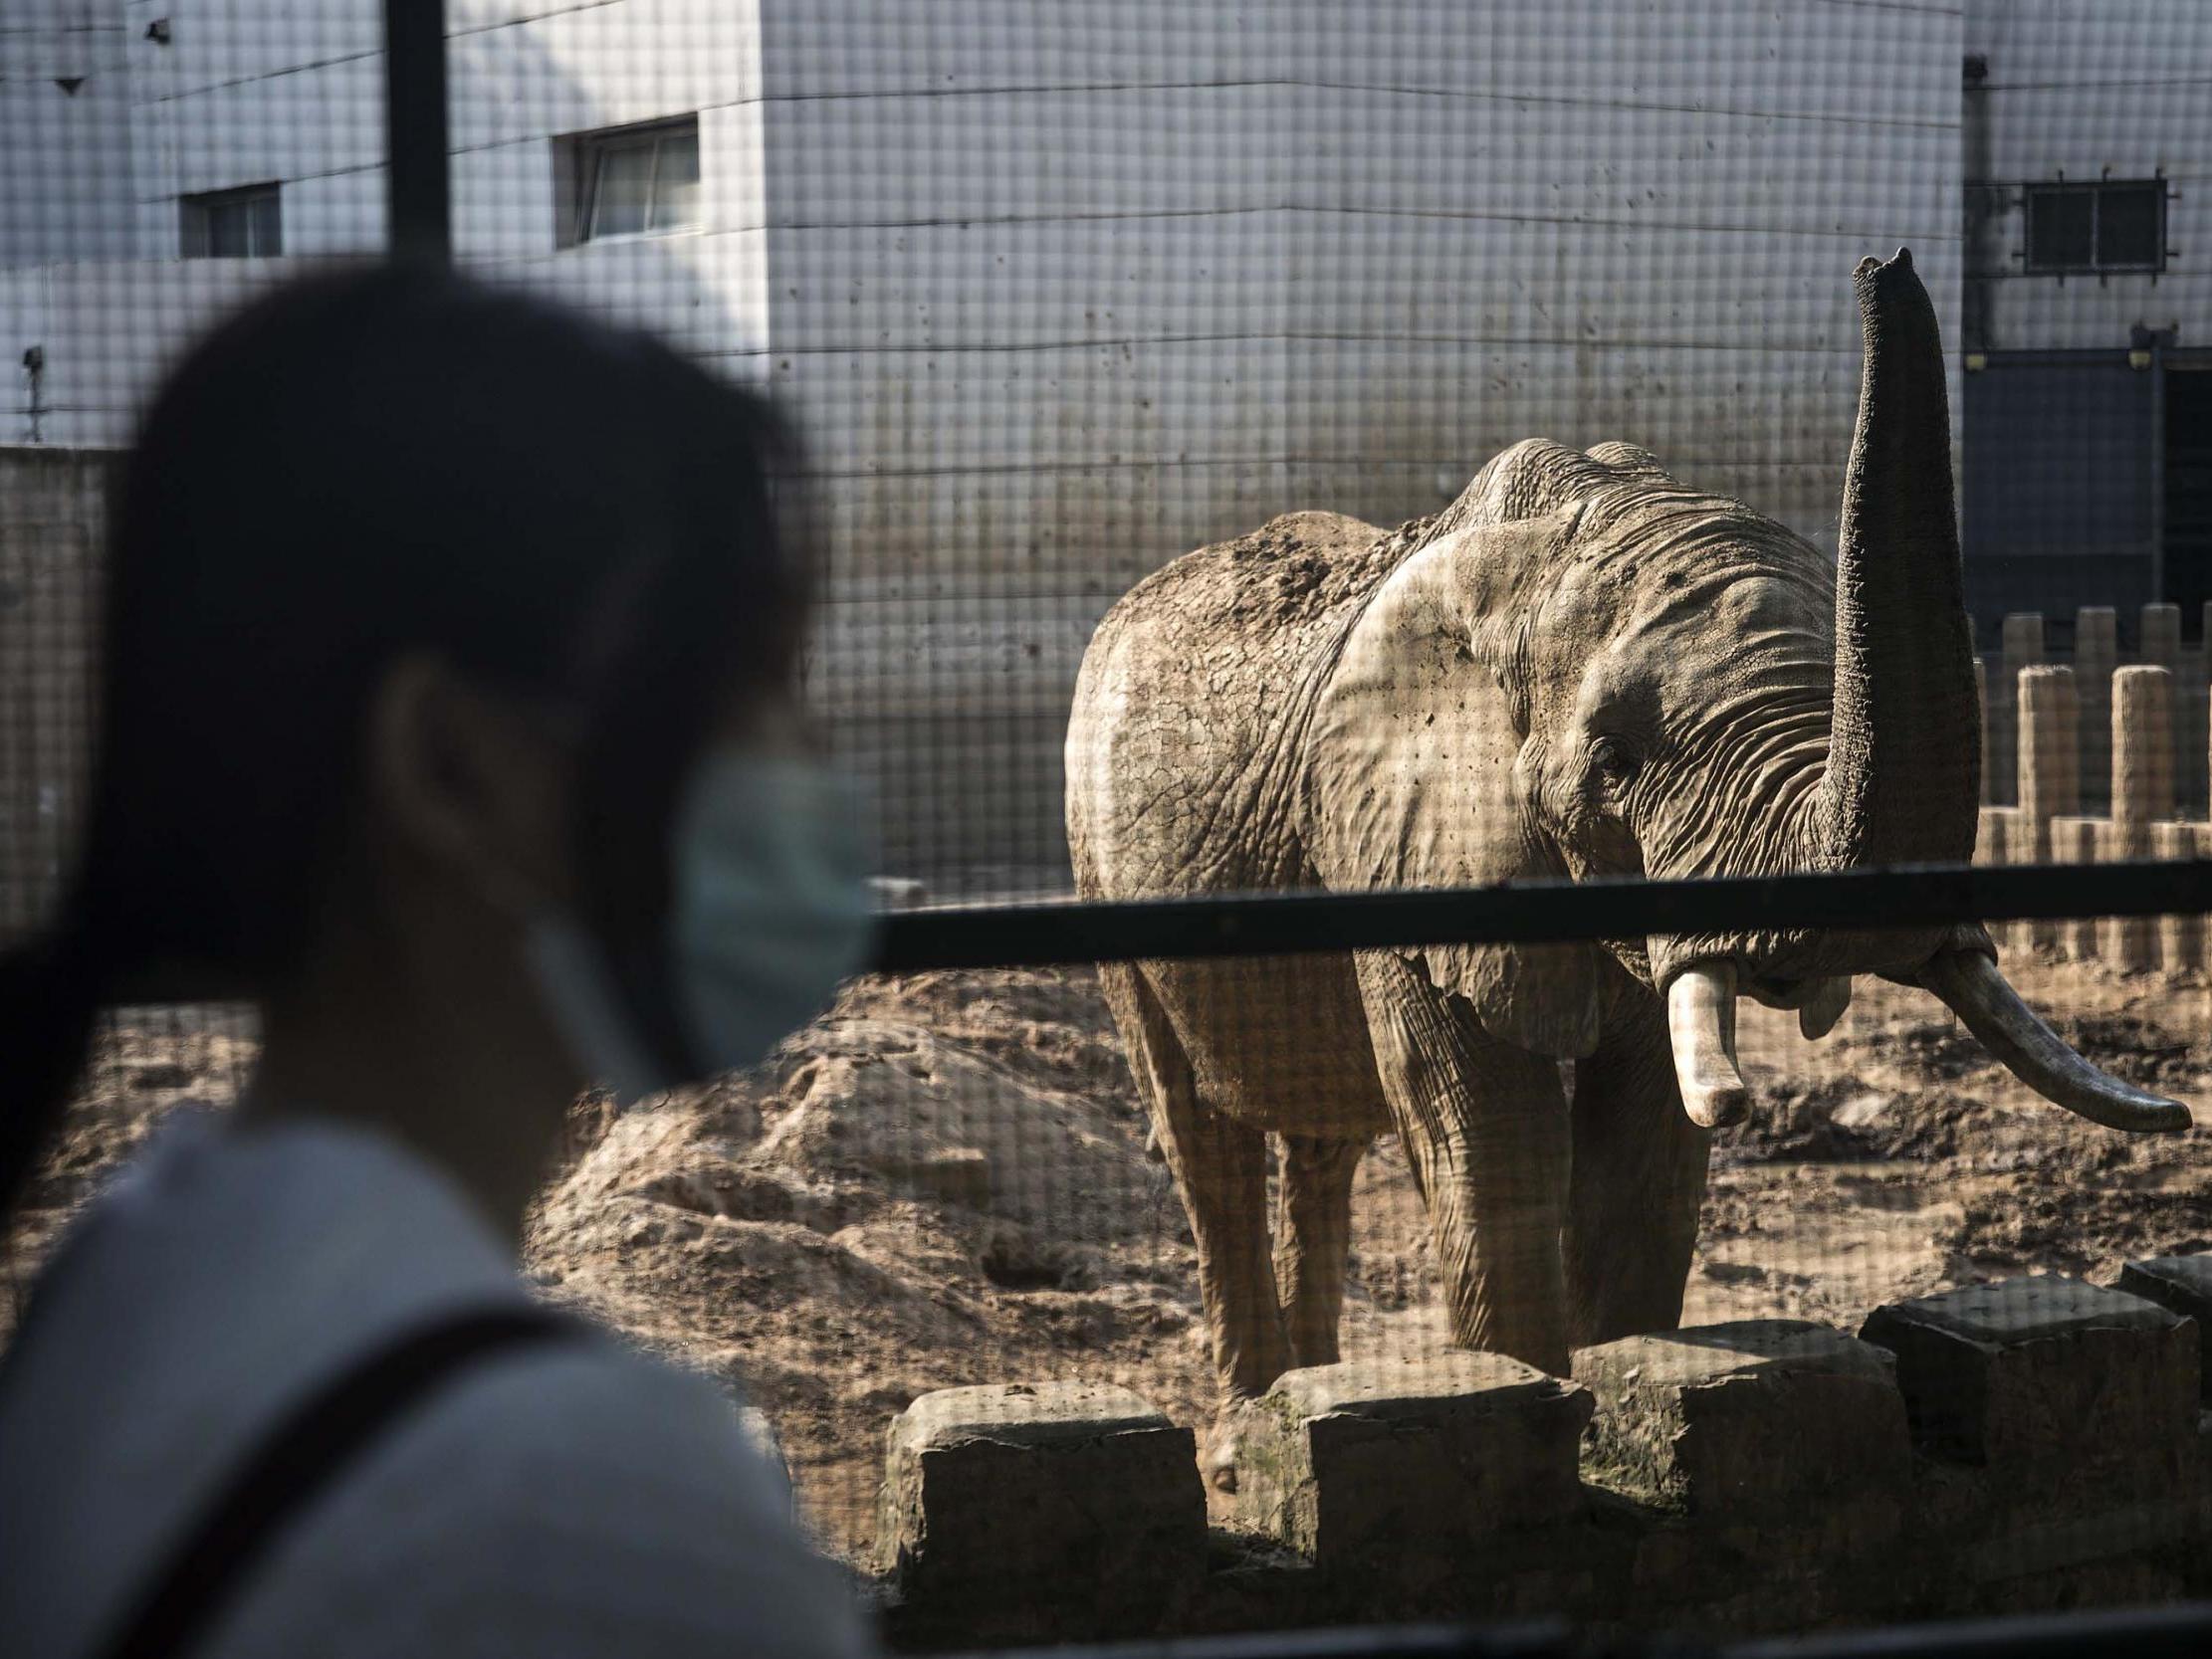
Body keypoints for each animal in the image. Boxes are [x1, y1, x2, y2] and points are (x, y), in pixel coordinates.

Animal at [1061, 250, 2185, 1495]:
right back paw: (1244, 1429)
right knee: (1199, 1135)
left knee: (1320, 1141)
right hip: (1094, 857)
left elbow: (1644, 1141)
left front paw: (1630, 1398)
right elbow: (1487, 1136)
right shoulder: (1395, 839)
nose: (1881, 265)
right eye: (1612, 762)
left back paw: (1301, 1390)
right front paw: (1534, 1417)